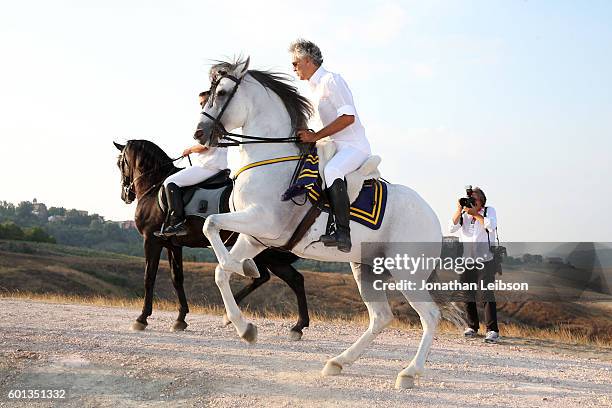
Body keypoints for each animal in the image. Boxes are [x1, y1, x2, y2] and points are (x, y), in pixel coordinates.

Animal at [113, 139, 310, 340]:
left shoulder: (151, 241)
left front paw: (142, 318)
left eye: (120, 163)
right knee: (284, 278)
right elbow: (177, 278)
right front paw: (180, 319)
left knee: (279, 278)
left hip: (264, 252)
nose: (125, 196)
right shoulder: (173, 245)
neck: (154, 188)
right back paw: (293, 325)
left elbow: (149, 277)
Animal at [196, 58, 450, 388]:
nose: (199, 134)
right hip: (365, 269)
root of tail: (432, 216)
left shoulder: (262, 222)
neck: (271, 159)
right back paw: (339, 362)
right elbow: (219, 268)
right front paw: (245, 326)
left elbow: (211, 225)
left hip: (407, 273)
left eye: (223, 92)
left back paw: (409, 372)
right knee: (381, 316)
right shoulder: (254, 237)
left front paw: (244, 270)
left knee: (430, 315)